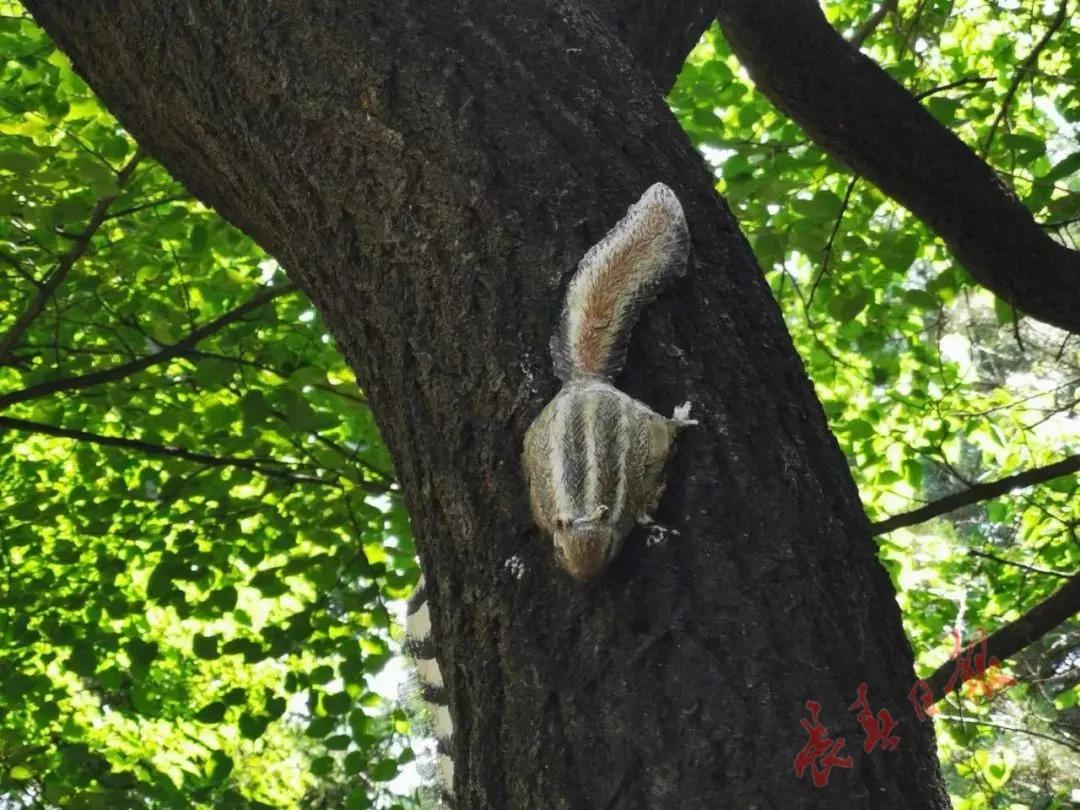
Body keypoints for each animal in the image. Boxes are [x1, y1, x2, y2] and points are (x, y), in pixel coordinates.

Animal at [520, 182, 691, 583]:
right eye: (559, 551)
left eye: (611, 549)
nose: (585, 578)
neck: (583, 506)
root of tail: (584, 383)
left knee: (664, 429)